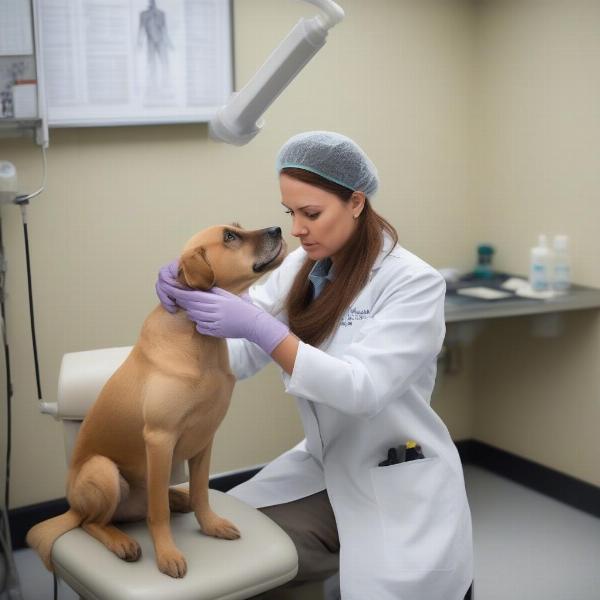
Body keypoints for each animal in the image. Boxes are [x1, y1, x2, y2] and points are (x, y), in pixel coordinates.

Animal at [27, 224, 288, 576]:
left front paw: (211, 526)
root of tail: (72, 506)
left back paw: (178, 500)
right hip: (103, 471)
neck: (197, 340)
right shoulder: (160, 439)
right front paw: (167, 554)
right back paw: (122, 542)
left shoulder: (205, 439)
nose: (278, 228)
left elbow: (202, 493)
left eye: (238, 227)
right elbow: (159, 514)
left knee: (163, 500)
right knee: (93, 522)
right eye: (229, 237)